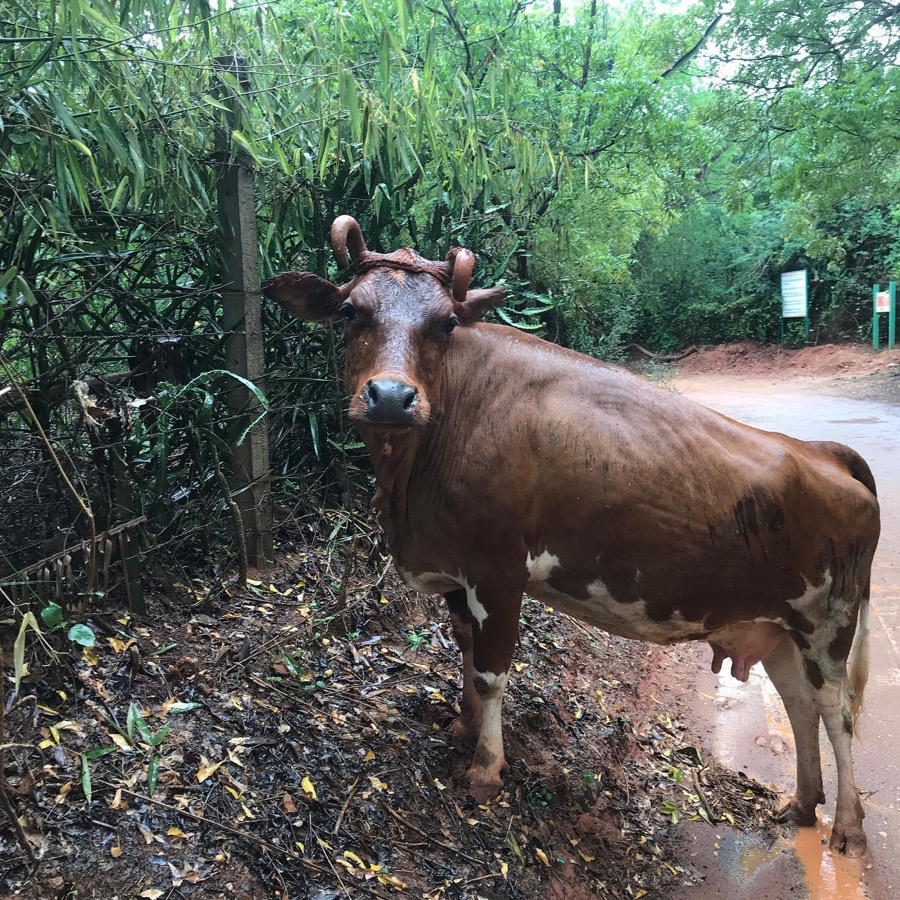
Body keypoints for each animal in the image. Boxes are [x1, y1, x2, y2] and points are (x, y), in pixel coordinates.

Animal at [264, 216, 880, 858]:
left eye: (447, 322)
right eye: (349, 311)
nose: (391, 397)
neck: (410, 486)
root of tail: (821, 452)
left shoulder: (499, 569)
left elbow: (491, 671)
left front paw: (486, 769)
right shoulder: (458, 572)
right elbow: (465, 650)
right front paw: (463, 727)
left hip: (829, 622)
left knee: (837, 712)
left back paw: (848, 827)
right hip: (779, 626)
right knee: (799, 705)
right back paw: (802, 803)